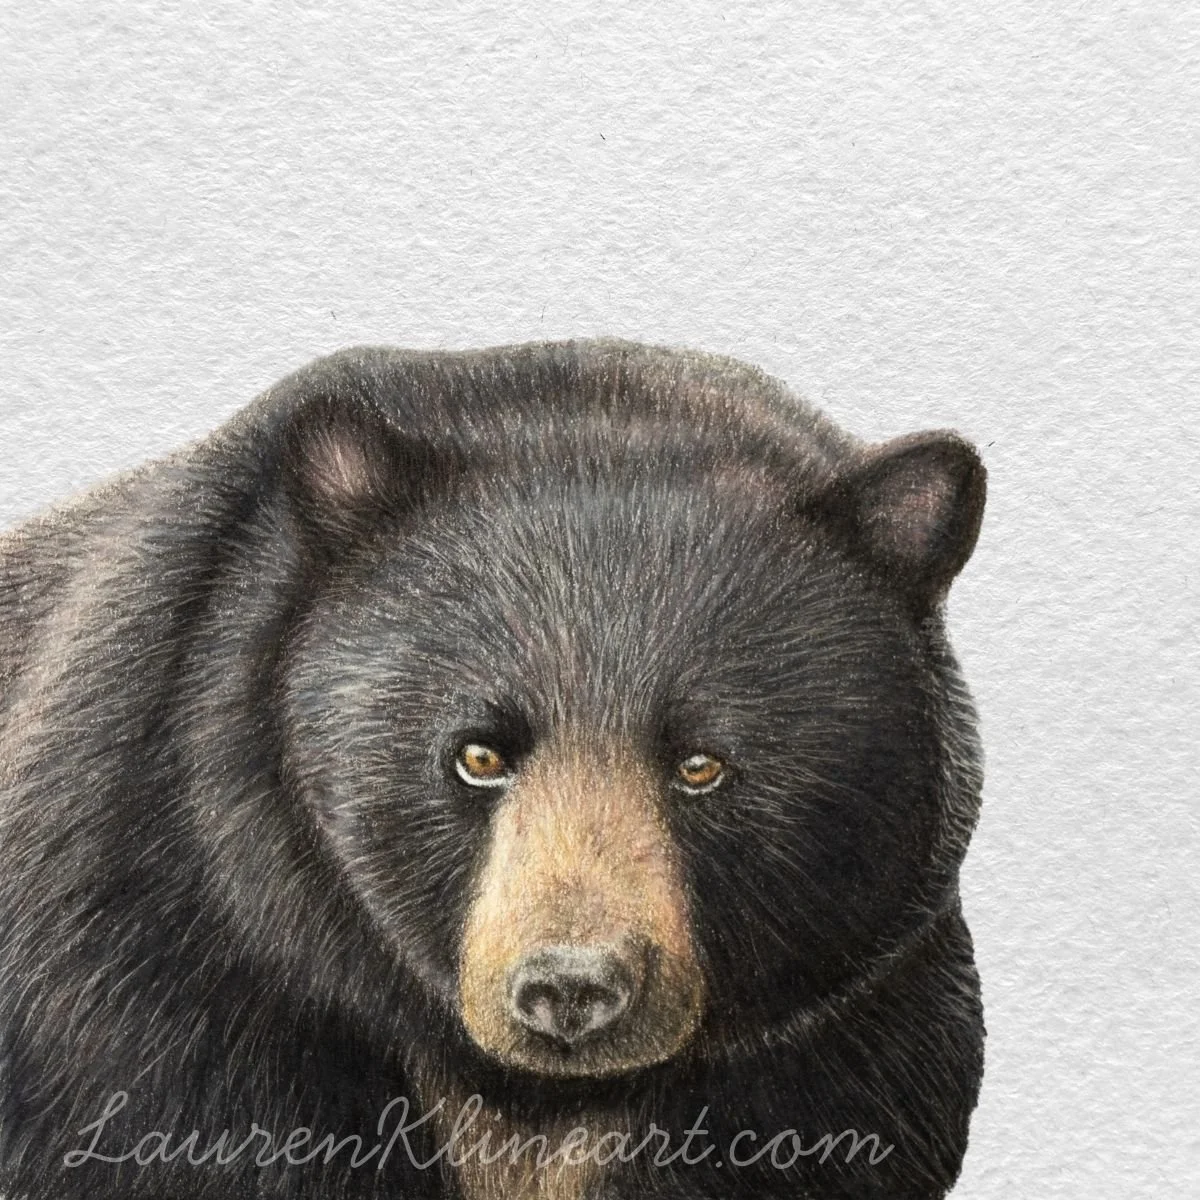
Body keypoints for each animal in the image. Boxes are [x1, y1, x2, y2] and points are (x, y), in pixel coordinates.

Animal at [0, 339, 987, 1200]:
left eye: (702, 765)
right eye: (478, 754)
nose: (571, 990)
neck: (531, 1104)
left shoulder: (849, 1045)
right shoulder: (150, 988)